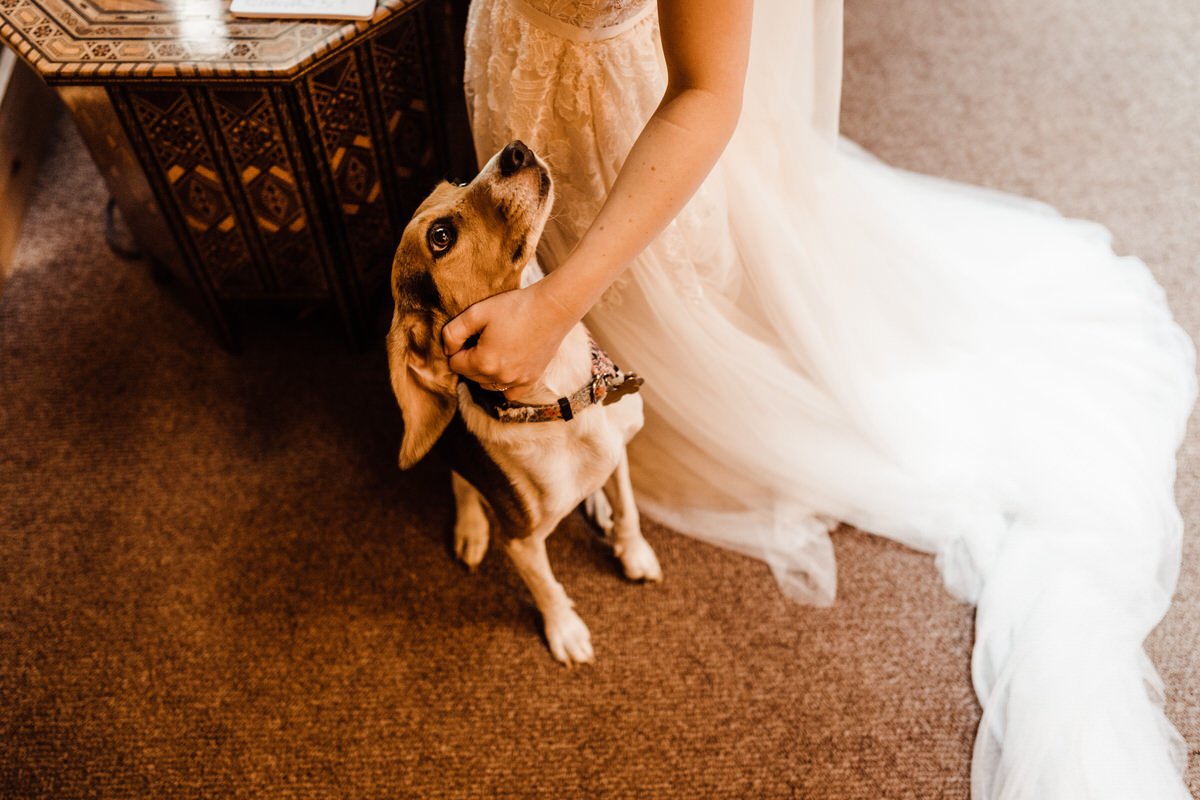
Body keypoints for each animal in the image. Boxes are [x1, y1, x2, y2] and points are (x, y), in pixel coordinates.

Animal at [386, 142, 662, 662]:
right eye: (440, 237)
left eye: (458, 182)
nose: (516, 150)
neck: (562, 401)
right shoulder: (522, 539)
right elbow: (546, 586)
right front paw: (565, 630)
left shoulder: (618, 450)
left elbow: (630, 510)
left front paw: (633, 550)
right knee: (461, 484)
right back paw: (472, 529)